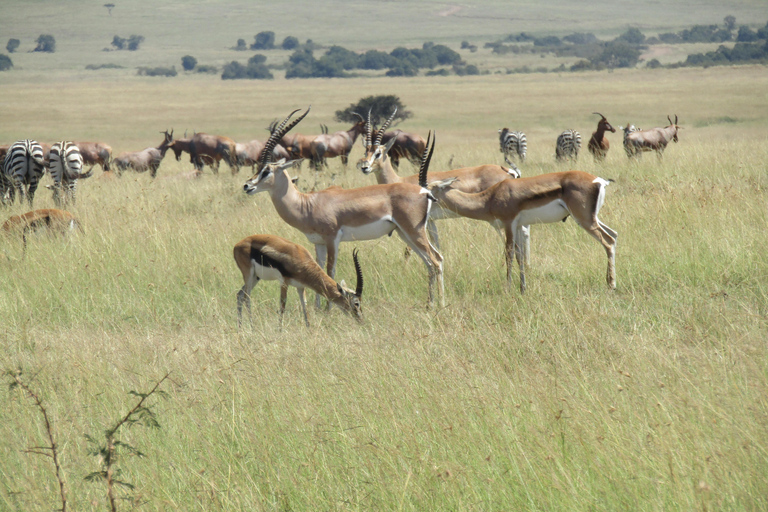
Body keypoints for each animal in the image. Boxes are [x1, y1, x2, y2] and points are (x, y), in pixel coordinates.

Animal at [232, 235, 364, 328]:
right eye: (356, 303)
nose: (360, 319)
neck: (302, 260)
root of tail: (237, 245)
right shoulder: (284, 282)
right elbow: (282, 305)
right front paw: (279, 330)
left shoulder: (300, 286)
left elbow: (304, 305)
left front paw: (309, 329)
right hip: (249, 275)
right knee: (247, 297)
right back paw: (252, 327)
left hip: (256, 278)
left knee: (239, 295)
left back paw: (240, 328)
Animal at [243, 106, 448, 308]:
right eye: (257, 168)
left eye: (267, 170)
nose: (247, 186)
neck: (308, 204)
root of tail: (423, 191)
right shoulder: (318, 243)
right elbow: (319, 269)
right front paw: (318, 308)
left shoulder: (332, 239)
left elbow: (330, 271)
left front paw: (328, 310)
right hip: (404, 233)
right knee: (431, 261)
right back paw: (430, 303)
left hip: (414, 231)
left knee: (436, 260)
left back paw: (440, 304)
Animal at [432, 171, 616, 294]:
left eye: (430, 190)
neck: (489, 198)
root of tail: (599, 181)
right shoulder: (519, 226)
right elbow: (520, 257)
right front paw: (522, 289)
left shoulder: (509, 224)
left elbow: (509, 255)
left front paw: (507, 289)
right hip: (592, 219)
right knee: (614, 235)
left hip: (585, 220)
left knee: (608, 241)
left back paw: (611, 285)